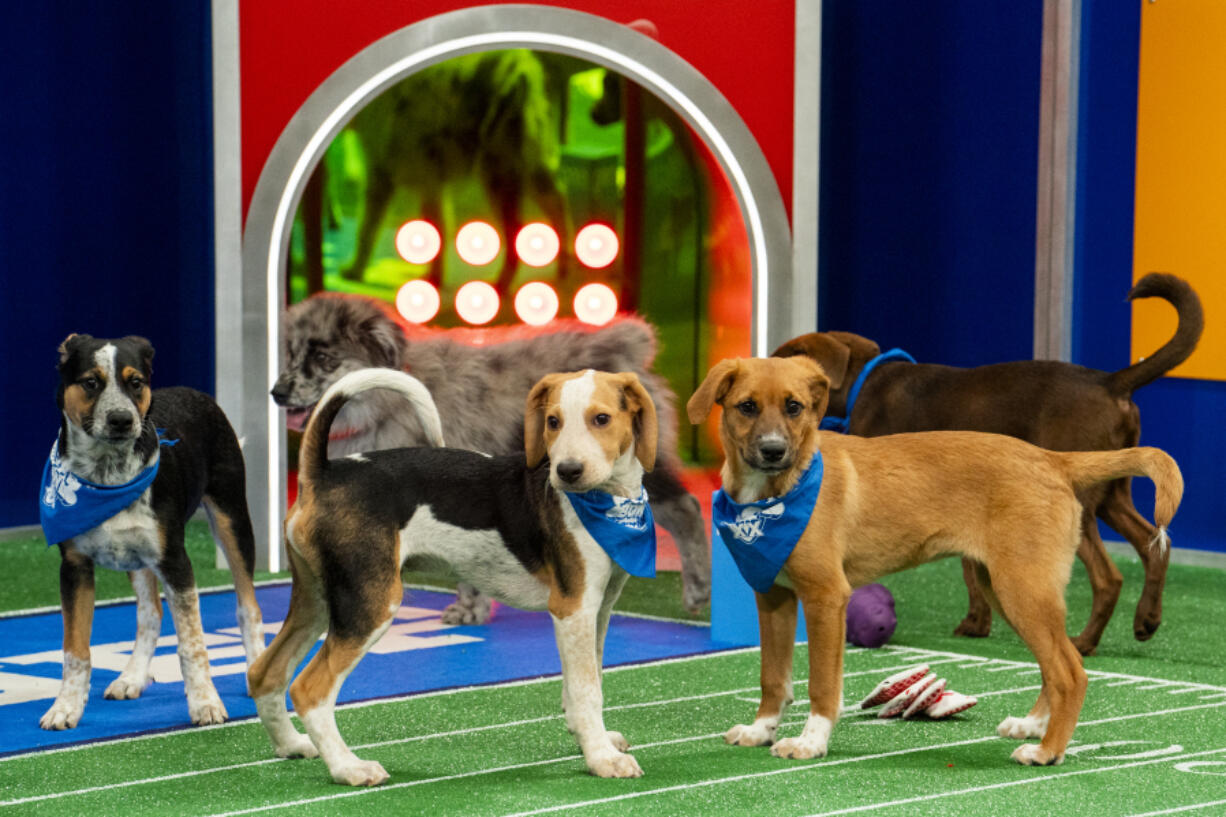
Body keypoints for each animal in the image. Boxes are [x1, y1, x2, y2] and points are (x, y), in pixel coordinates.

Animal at [40, 333, 263, 726]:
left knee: (247, 607)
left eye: (136, 382)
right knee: (151, 613)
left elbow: (192, 644)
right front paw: (65, 708)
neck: (107, 475)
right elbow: (74, 650)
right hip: (138, 556)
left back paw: (255, 673)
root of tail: (199, 394)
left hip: (232, 519)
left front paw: (205, 703)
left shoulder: (176, 561)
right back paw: (131, 677)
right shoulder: (74, 567)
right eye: (91, 382)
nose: (121, 419)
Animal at [242, 363, 657, 785]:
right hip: (370, 604)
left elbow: (585, 684)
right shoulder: (573, 609)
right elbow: (588, 690)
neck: (609, 501)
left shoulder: (598, 609)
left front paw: (594, 740)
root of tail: (323, 473)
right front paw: (601, 758)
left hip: (320, 600)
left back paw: (291, 745)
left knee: (264, 672)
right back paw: (349, 768)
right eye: (553, 422)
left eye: (602, 419)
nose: (567, 471)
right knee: (309, 690)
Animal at [686, 355, 1181, 765]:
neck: (777, 493)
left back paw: (1046, 751)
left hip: (1023, 588)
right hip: (1008, 588)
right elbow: (773, 678)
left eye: (794, 407)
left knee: (1070, 672)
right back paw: (1033, 726)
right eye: (747, 407)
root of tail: (1053, 460)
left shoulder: (827, 597)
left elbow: (822, 685)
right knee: (1056, 666)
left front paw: (810, 743)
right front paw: (761, 730)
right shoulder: (773, 595)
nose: (773, 451)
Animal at [769, 269, 1201, 652]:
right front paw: (978, 621)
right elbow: (968, 566)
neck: (866, 380)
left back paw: (1085, 642)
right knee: (1153, 545)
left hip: (1084, 505)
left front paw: (976, 621)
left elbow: (967, 569)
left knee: (1109, 577)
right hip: (1113, 495)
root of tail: (1111, 382)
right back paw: (1146, 621)